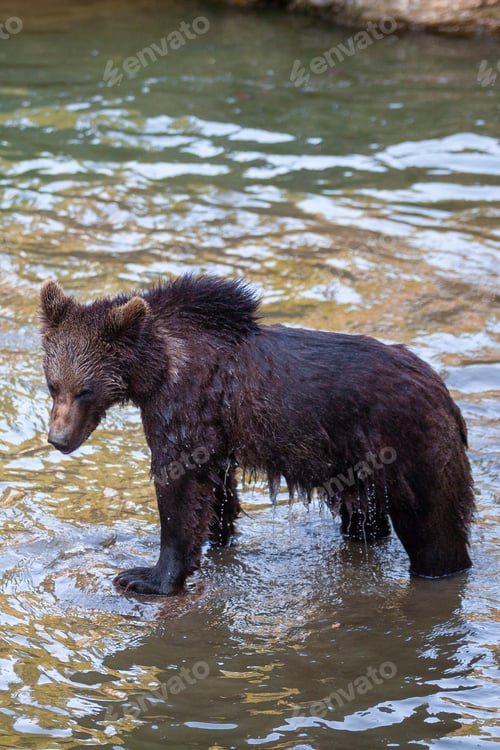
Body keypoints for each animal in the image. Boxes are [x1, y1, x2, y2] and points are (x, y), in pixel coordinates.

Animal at [39, 275, 475, 595]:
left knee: (434, 527)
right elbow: (216, 488)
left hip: (407, 444)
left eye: (86, 390)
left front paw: (144, 575)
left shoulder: (184, 404)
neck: (156, 368)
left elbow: (179, 485)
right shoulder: (215, 429)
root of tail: (443, 392)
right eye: (52, 384)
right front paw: (217, 536)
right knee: (364, 516)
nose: (58, 438)